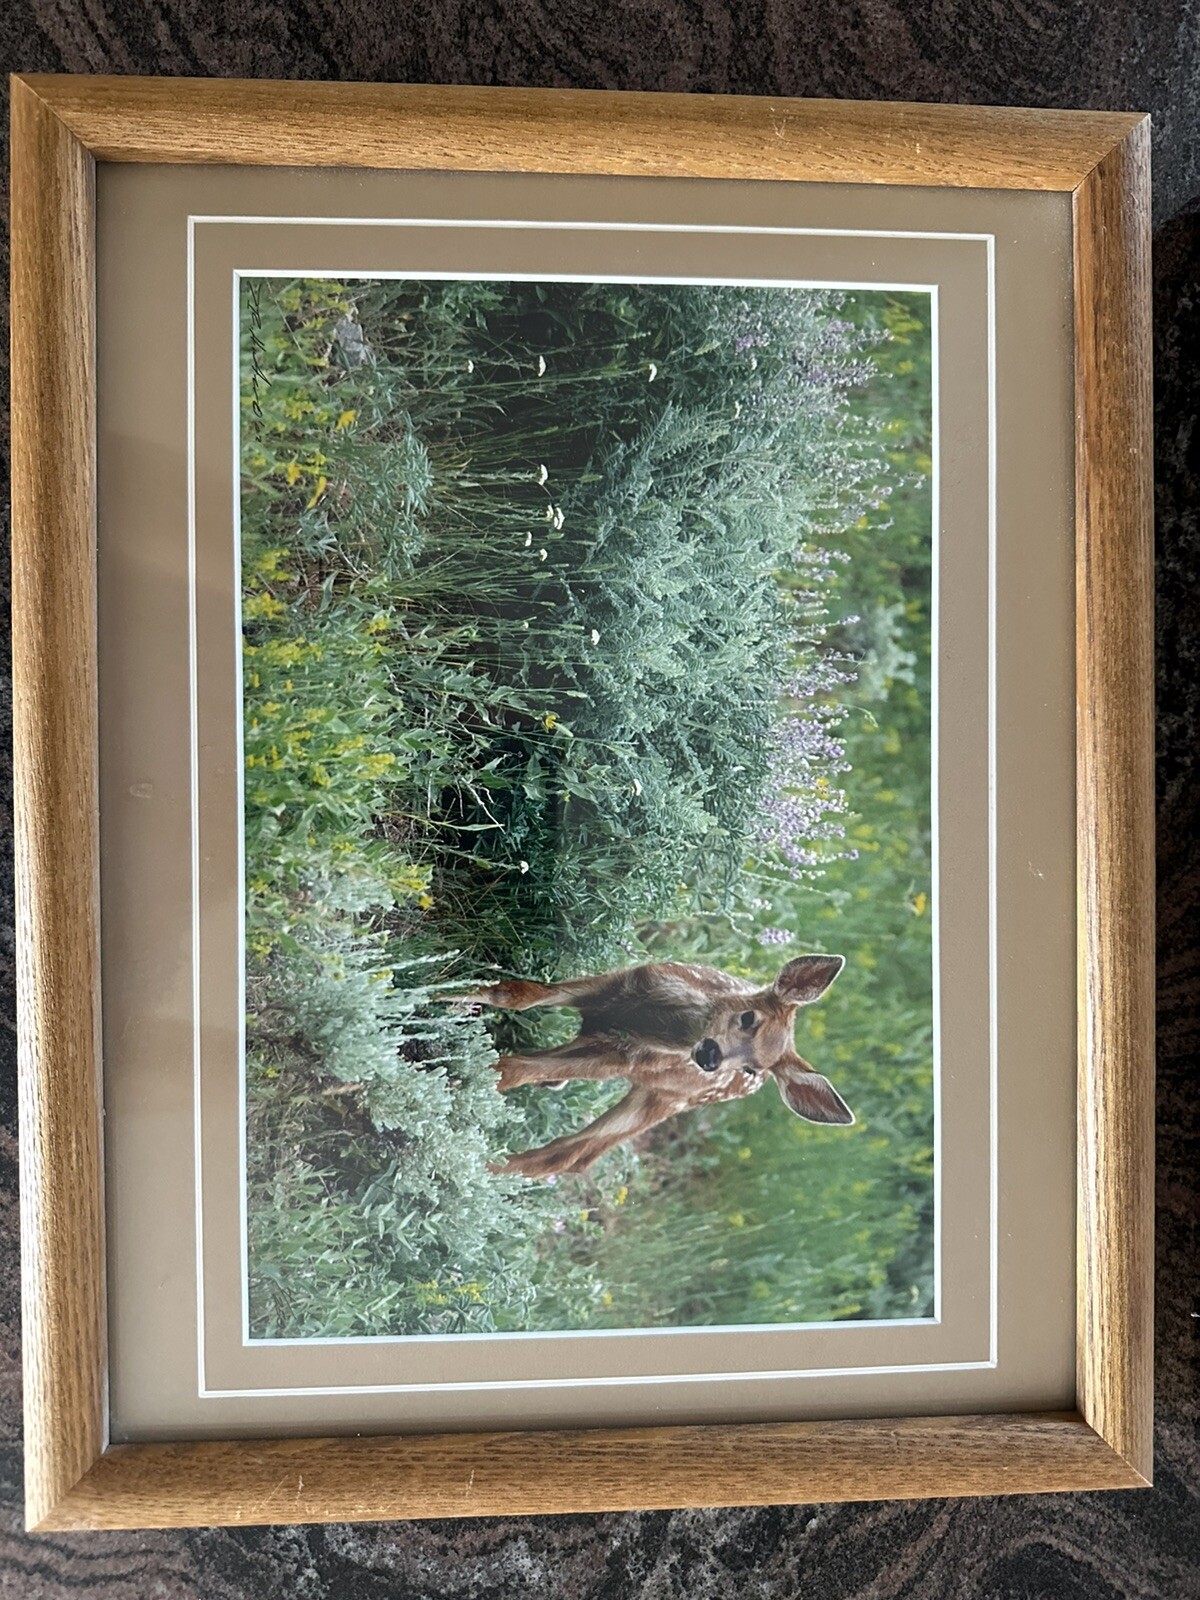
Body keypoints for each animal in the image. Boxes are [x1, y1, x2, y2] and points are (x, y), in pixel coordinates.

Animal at [451, 954, 853, 1180]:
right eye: (748, 1017)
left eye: (751, 1070)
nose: (711, 1059)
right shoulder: (614, 985)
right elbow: (515, 994)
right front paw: (449, 994)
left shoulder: (625, 1057)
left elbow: (514, 1070)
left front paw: (461, 1081)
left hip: (664, 1099)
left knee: (572, 1155)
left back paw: (479, 1171)